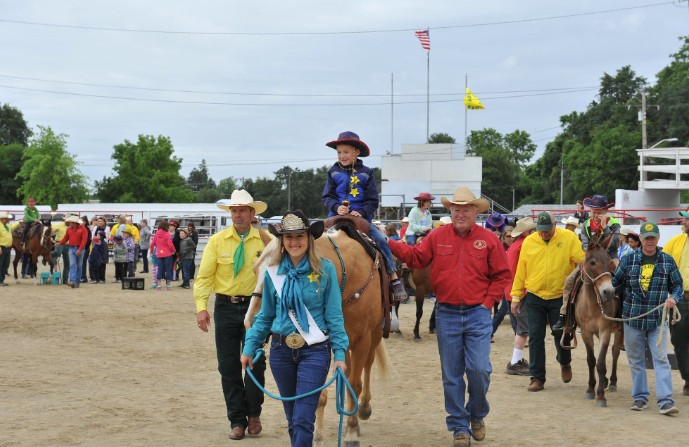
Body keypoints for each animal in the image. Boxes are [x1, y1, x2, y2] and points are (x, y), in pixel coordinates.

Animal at [246, 228, 388, 447]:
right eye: (255, 270)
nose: (251, 320)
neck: (348, 275)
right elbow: (319, 392)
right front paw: (317, 436)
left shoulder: (362, 341)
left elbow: (355, 384)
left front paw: (351, 432)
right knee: (347, 372)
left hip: (375, 335)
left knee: (367, 365)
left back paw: (363, 409)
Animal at [564, 236, 624, 408]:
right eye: (592, 262)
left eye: (610, 262)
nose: (609, 292)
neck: (592, 304)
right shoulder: (586, 332)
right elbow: (591, 360)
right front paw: (591, 389)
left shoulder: (605, 331)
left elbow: (601, 363)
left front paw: (601, 396)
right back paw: (605, 381)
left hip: (619, 329)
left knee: (615, 351)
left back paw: (612, 382)